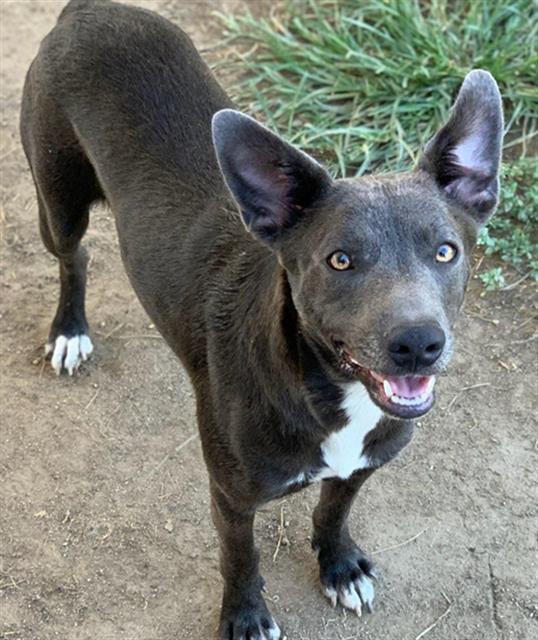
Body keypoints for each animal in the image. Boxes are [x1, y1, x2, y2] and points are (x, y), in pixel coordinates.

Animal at [18, 1, 500, 636]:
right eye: (339, 260)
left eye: (446, 251)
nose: (419, 343)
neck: (325, 390)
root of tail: (89, 11)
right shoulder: (232, 495)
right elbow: (239, 557)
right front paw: (245, 615)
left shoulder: (361, 466)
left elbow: (333, 508)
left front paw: (339, 565)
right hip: (58, 198)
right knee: (74, 256)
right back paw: (70, 332)